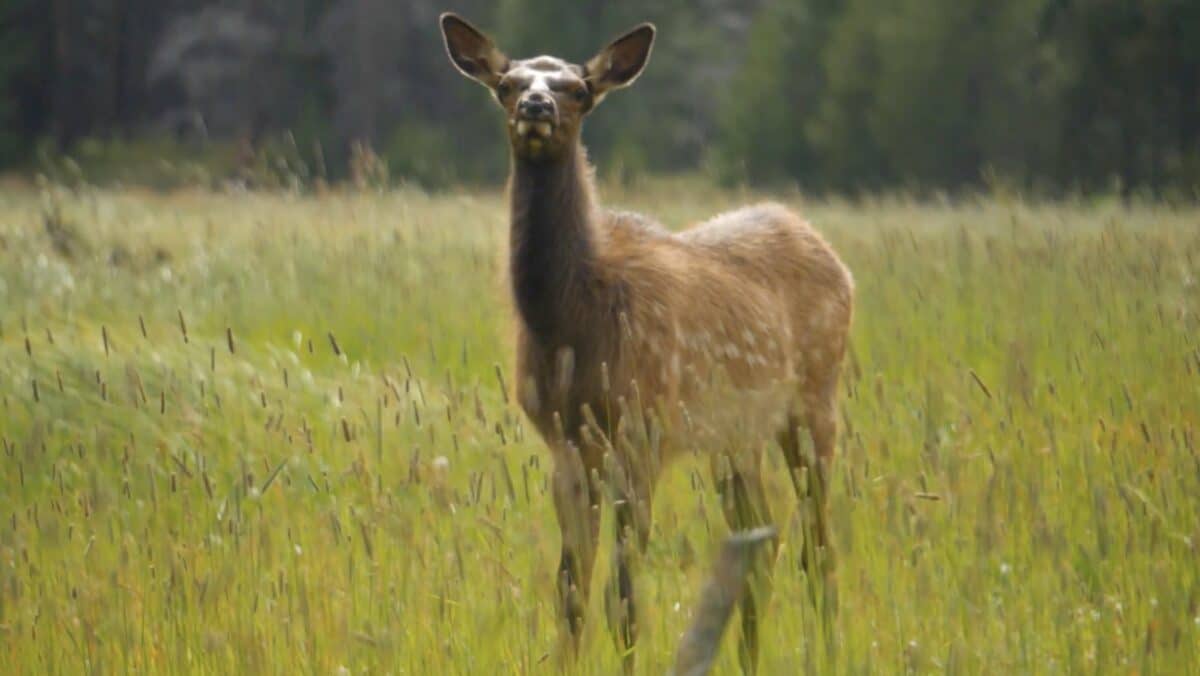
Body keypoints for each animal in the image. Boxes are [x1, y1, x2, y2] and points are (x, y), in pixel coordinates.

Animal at [440, 13, 854, 673]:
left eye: (578, 90)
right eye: (506, 84)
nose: (536, 105)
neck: (572, 321)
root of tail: (834, 257)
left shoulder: (641, 430)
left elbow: (624, 596)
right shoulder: (566, 446)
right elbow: (570, 594)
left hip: (815, 403)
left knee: (817, 545)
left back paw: (825, 649)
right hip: (735, 437)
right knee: (761, 540)